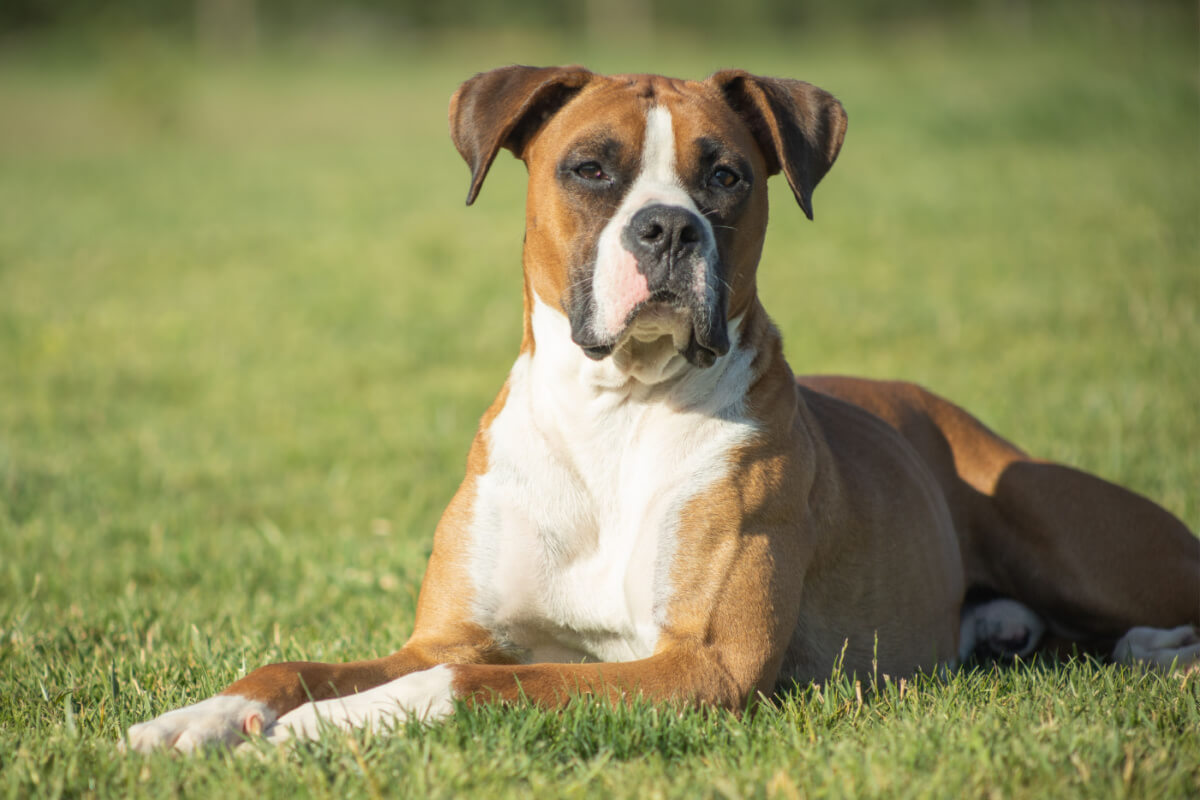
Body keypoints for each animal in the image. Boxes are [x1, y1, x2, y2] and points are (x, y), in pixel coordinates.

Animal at [124, 65, 1200, 753]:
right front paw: (203, 717)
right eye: (590, 167)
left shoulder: (698, 665)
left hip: (1073, 537)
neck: (614, 412)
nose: (667, 228)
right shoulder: (444, 633)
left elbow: (478, 683)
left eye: (725, 175)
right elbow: (296, 663)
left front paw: (323, 728)